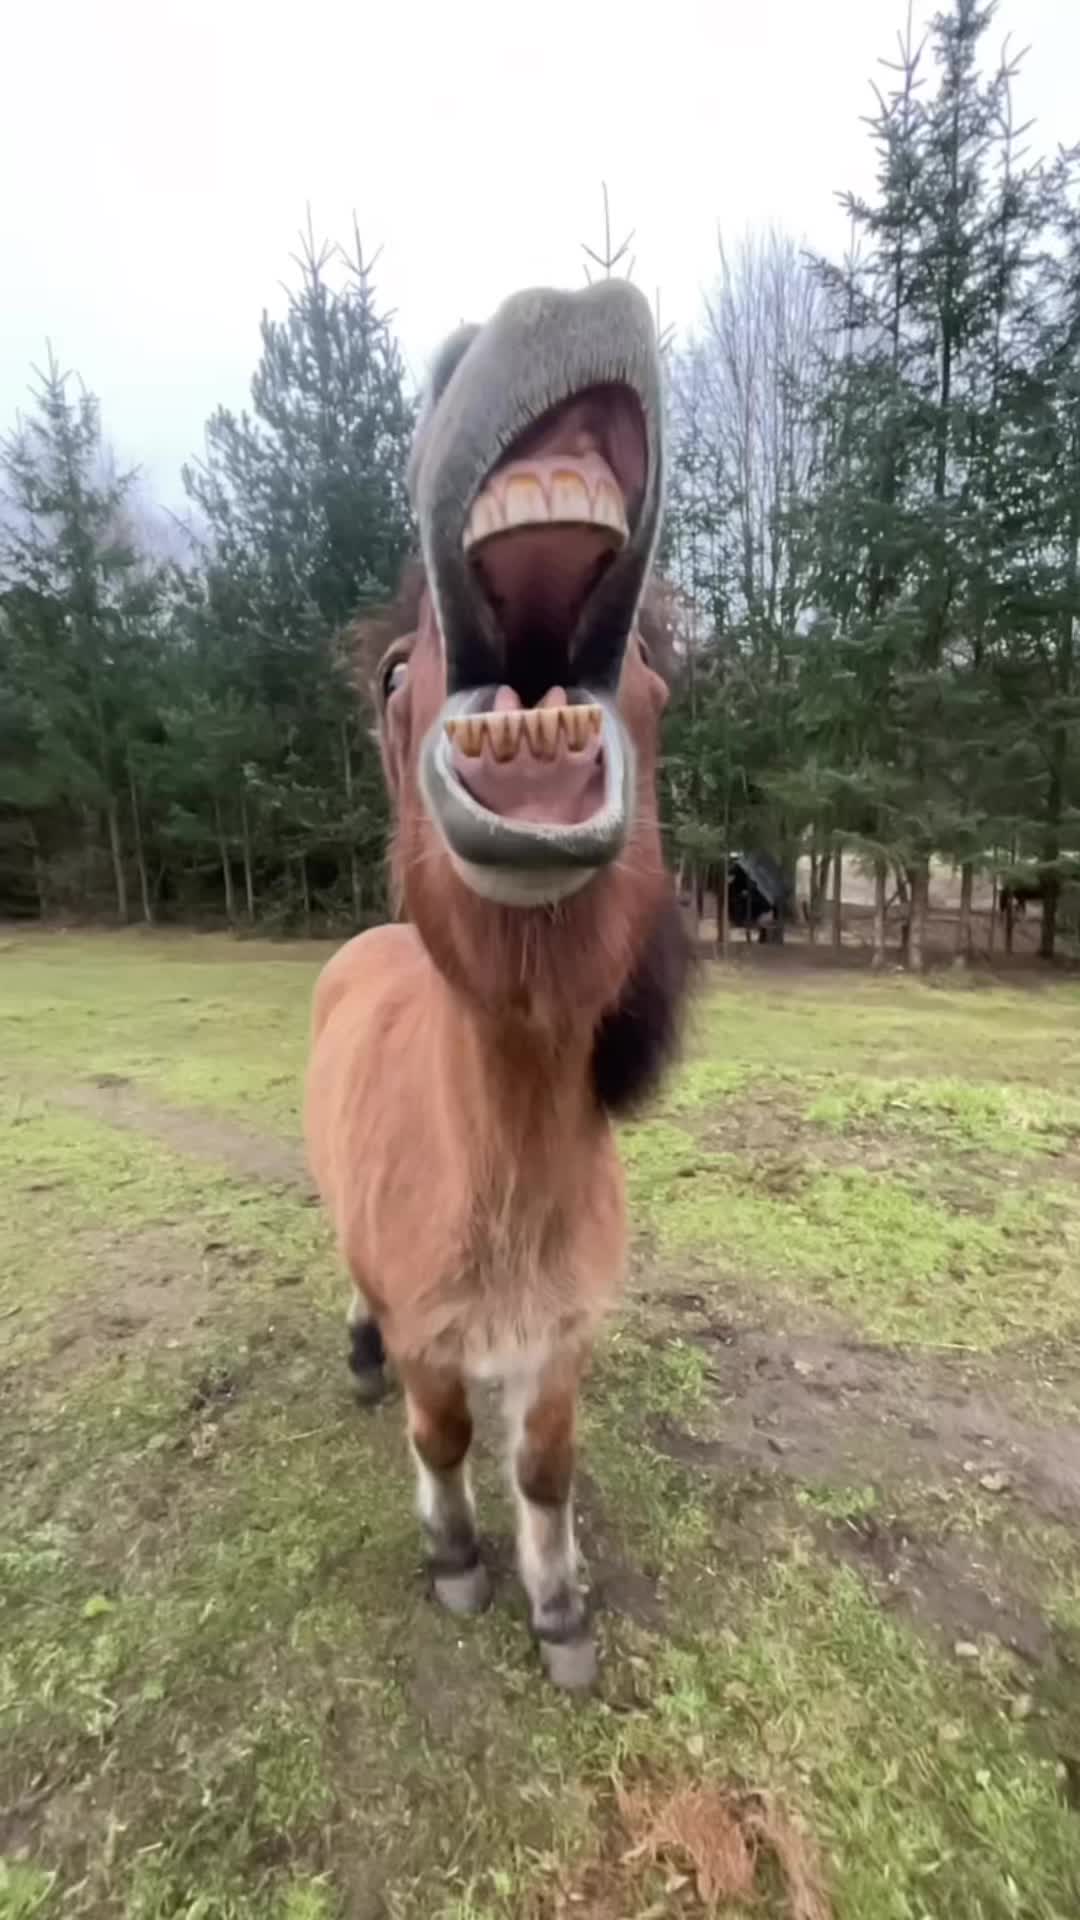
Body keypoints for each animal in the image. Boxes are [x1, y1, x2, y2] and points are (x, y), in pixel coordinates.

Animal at [305, 281, 690, 1689]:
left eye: (663, 670)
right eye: (388, 675)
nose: (564, 304)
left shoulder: (563, 1337)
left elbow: (544, 1465)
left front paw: (561, 1611)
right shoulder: (435, 1334)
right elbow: (444, 1441)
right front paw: (459, 1562)